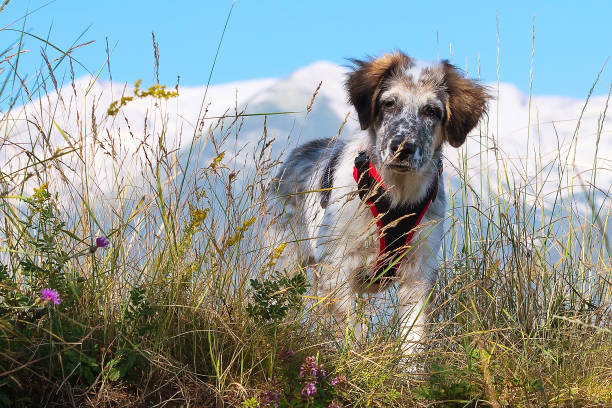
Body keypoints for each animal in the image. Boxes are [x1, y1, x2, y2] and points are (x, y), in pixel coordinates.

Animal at [268, 51, 488, 354]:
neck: (396, 196)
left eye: (432, 111)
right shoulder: (338, 265)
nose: (402, 147)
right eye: (389, 103)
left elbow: (413, 338)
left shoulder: (419, 270)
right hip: (286, 260)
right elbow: (346, 329)